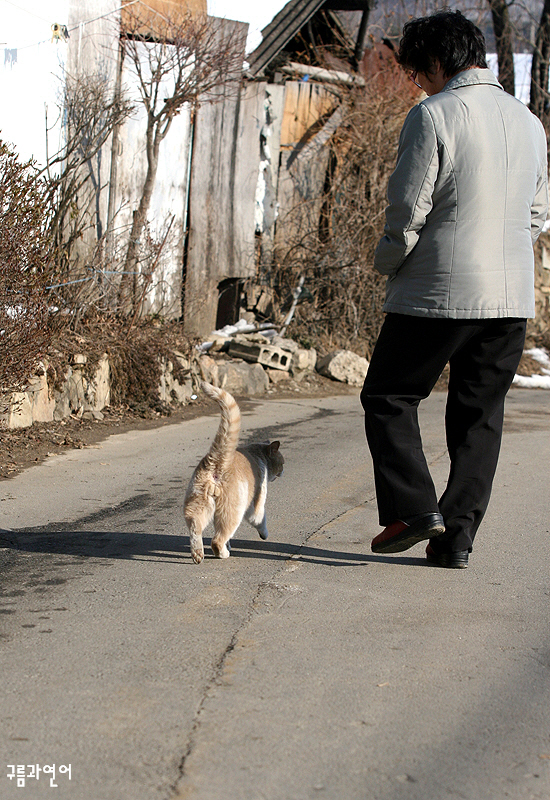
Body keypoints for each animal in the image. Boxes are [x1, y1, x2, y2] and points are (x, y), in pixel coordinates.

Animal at [185, 382, 286, 564]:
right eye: (282, 463)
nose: (283, 471)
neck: (257, 454)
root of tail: (219, 459)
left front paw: (229, 545)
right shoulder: (255, 506)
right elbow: (261, 521)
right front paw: (264, 535)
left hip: (197, 507)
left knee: (195, 530)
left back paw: (198, 555)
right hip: (232, 512)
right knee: (217, 540)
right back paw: (222, 554)